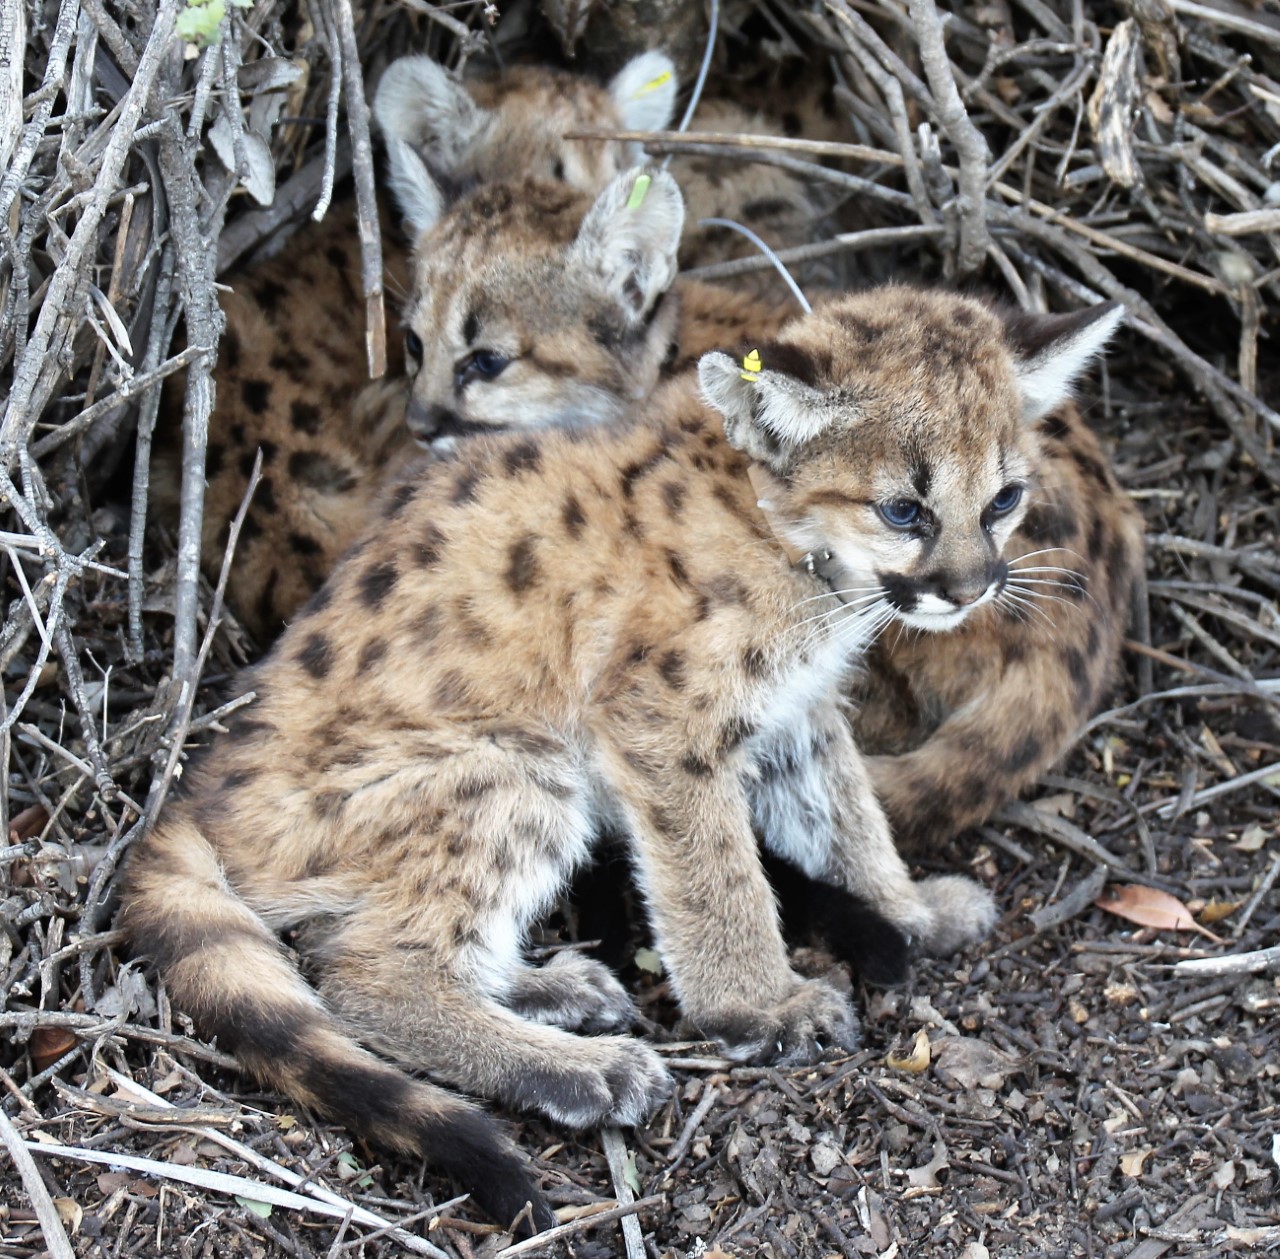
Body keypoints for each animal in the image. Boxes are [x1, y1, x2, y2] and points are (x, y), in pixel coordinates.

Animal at [122, 285, 1121, 1228]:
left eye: (1004, 499)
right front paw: (761, 1003)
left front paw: (909, 909)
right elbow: (717, 876)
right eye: (904, 509)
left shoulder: (795, 708)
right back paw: (584, 1070)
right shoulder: (659, 717)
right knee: (371, 973)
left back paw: (556, 988)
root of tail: (190, 795)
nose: (972, 588)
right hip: (517, 771)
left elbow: (847, 815)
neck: (789, 543)